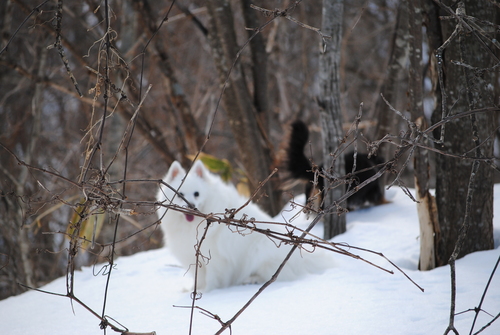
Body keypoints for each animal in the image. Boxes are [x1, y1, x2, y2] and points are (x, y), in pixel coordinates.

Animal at [156, 160, 332, 292]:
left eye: (197, 194)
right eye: (180, 195)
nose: (191, 206)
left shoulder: (216, 258)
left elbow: (212, 278)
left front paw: (208, 293)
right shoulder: (193, 256)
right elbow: (197, 278)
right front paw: (194, 290)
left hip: (261, 250)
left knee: (279, 276)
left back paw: (252, 279)